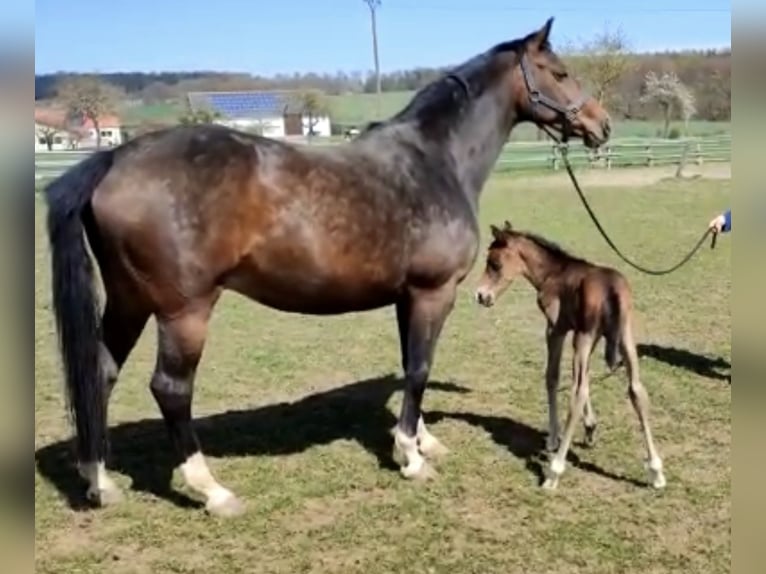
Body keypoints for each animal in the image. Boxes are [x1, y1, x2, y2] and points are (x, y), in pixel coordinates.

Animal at [43, 17, 611, 516]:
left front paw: (420, 440)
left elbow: (412, 364)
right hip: (184, 312)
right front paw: (410, 458)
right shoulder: (434, 292)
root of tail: (113, 160)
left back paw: (100, 482)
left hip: (129, 301)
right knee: (171, 389)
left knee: (100, 372)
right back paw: (212, 491)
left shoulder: (407, 297)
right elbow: (421, 367)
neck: (435, 160)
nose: (601, 124)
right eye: (559, 72)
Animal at [474, 221, 666, 490]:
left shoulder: (556, 329)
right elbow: (584, 375)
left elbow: (552, 377)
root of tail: (613, 289)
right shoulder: (586, 334)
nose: (481, 296)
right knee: (636, 390)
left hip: (583, 338)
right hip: (625, 338)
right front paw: (590, 426)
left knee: (577, 392)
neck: (553, 273)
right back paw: (656, 471)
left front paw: (553, 438)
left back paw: (554, 472)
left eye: (494, 263)